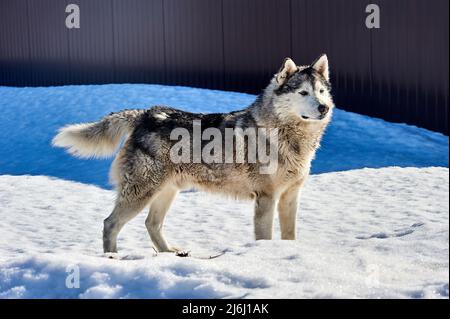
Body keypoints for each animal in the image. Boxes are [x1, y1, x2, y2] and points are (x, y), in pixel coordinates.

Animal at [53, 55, 334, 255]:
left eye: (320, 91)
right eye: (303, 93)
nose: (324, 108)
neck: (288, 136)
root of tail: (144, 114)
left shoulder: (290, 196)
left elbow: (290, 235)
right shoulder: (266, 198)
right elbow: (265, 237)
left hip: (166, 192)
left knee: (151, 224)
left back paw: (170, 253)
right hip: (142, 193)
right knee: (109, 223)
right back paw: (113, 257)